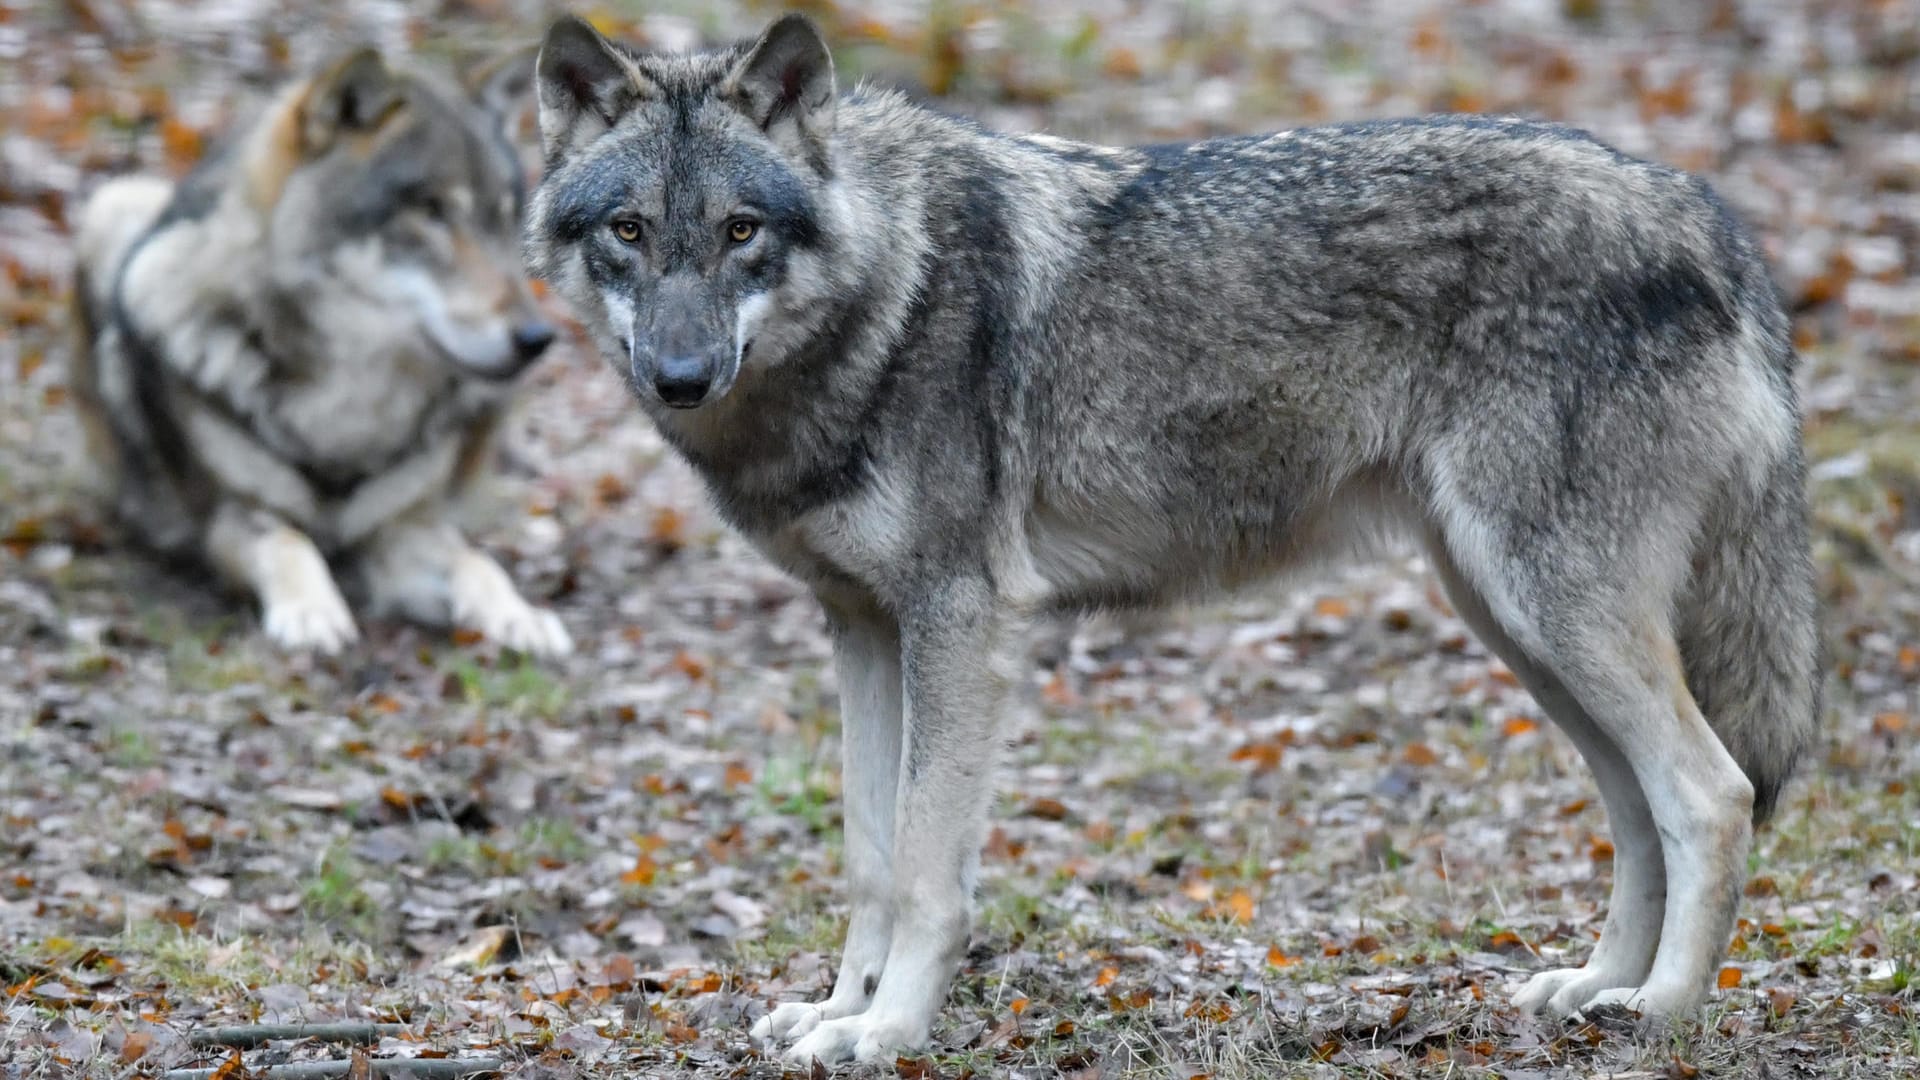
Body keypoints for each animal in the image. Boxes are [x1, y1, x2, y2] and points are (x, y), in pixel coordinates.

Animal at [69, 48, 576, 657]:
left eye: (502, 216)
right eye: (431, 210)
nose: (537, 338)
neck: (348, 409)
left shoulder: (400, 531)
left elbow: (477, 562)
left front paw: (519, 616)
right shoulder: (231, 518)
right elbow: (289, 541)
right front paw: (312, 611)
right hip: (114, 205)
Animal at [522, 12, 1812, 1060]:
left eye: (741, 230)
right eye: (628, 231)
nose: (681, 376)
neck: (885, 297)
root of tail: (1709, 216)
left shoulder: (963, 622)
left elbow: (931, 868)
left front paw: (888, 1033)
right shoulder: (862, 630)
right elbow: (870, 861)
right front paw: (838, 1015)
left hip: (1553, 611)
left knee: (1712, 794)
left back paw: (1663, 1012)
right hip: (1520, 624)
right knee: (1641, 812)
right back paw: (1594, 989)